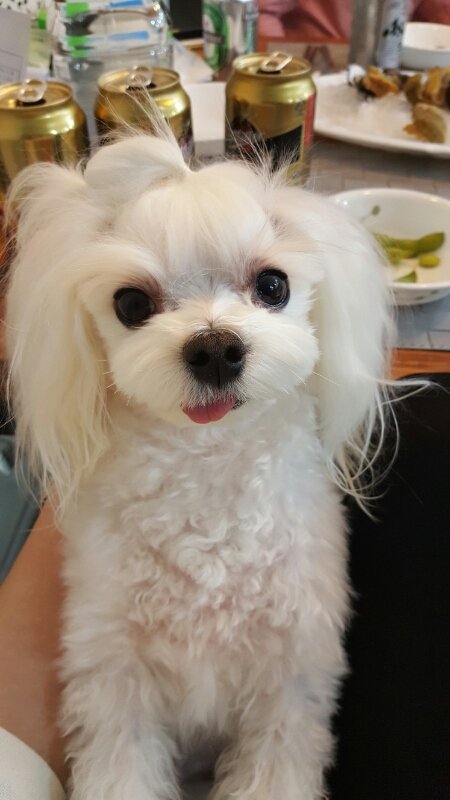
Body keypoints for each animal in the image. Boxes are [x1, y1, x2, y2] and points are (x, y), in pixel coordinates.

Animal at [6, 128, 392, 799]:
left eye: (273, 286)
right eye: (131, 303)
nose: (214, 347)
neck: (208, 476)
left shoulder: (290, 684)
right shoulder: (114, 682)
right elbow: (121, 769)